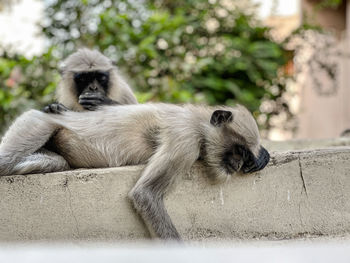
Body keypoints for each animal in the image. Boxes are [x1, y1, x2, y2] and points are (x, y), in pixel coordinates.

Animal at [0, 104, 270, 240]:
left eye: (246, 156)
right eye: (238, 150)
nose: (237, 165)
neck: (198, 122)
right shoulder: (185, 137)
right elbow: (145, 194)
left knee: (56, 162)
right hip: (36, 122)